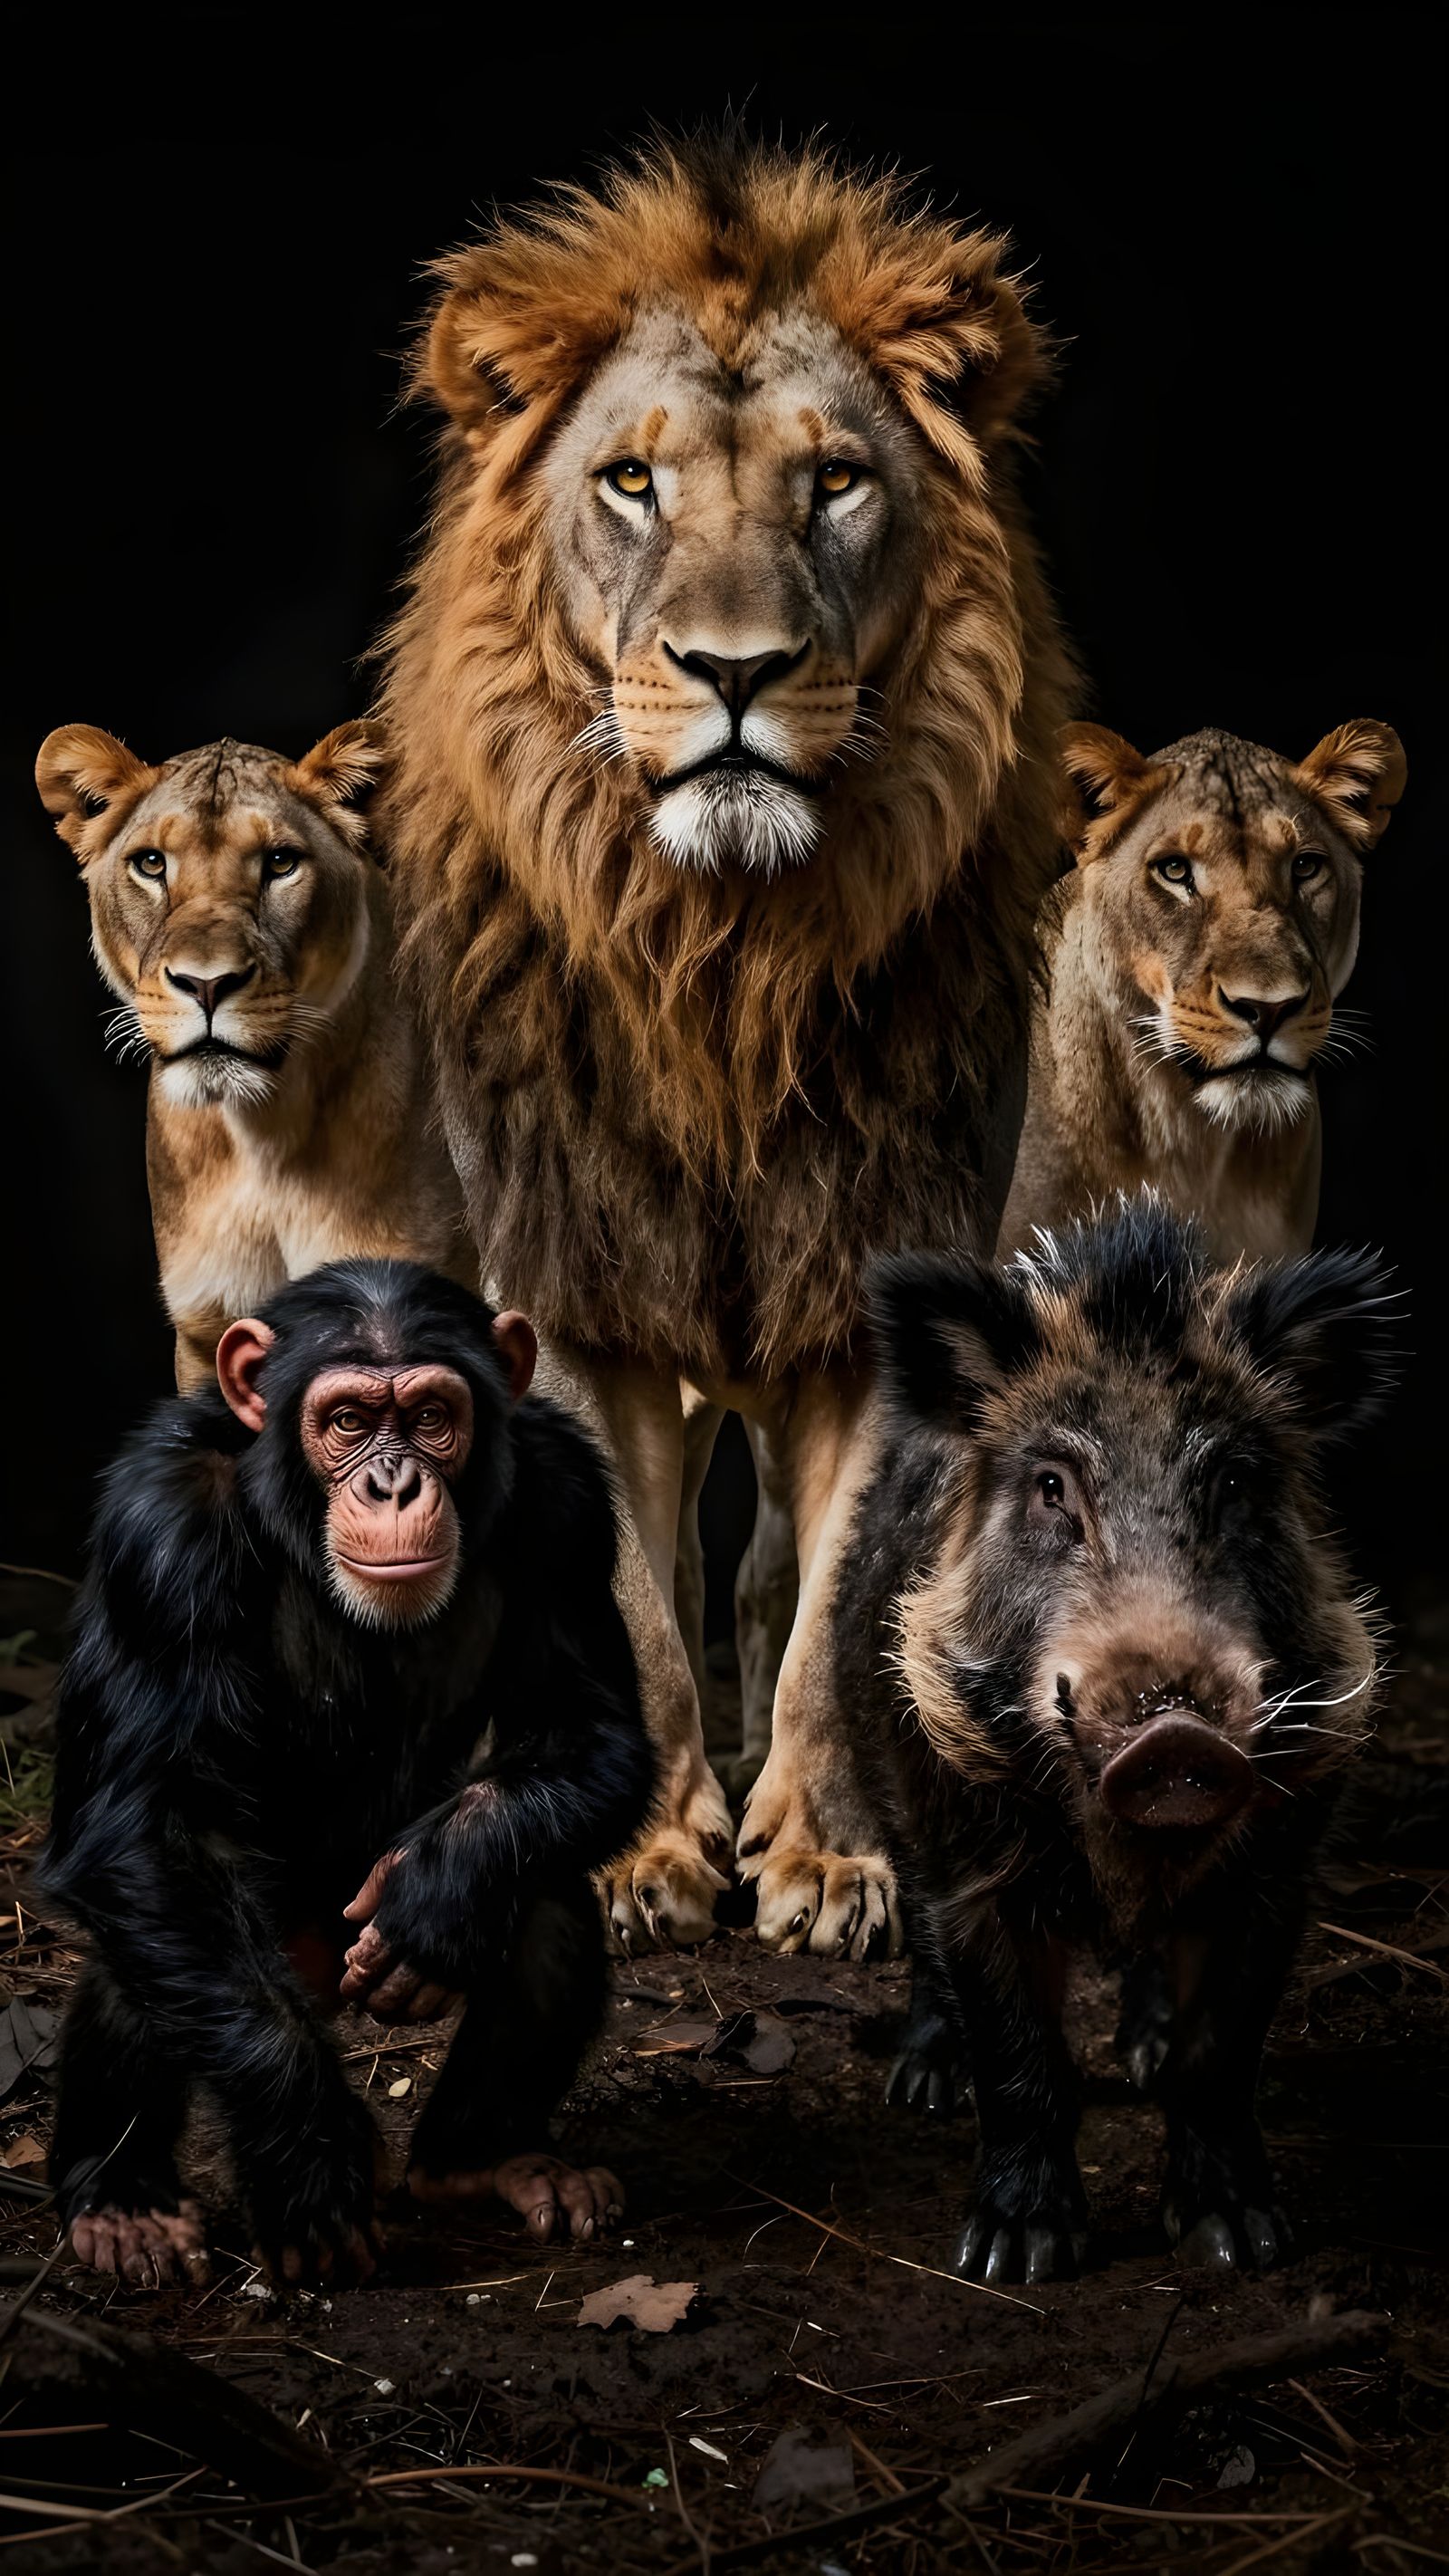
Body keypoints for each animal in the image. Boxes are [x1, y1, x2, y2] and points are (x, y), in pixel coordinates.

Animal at [379, 134, 1075, 1955]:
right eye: (631, 481)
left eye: (835, 483)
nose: (737, 669)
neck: (724, 956)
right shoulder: (578, 1280)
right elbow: (629, 1589)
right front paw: (638, 1856)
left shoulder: (876, 1269)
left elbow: (836, 1605)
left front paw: (825, 1852)